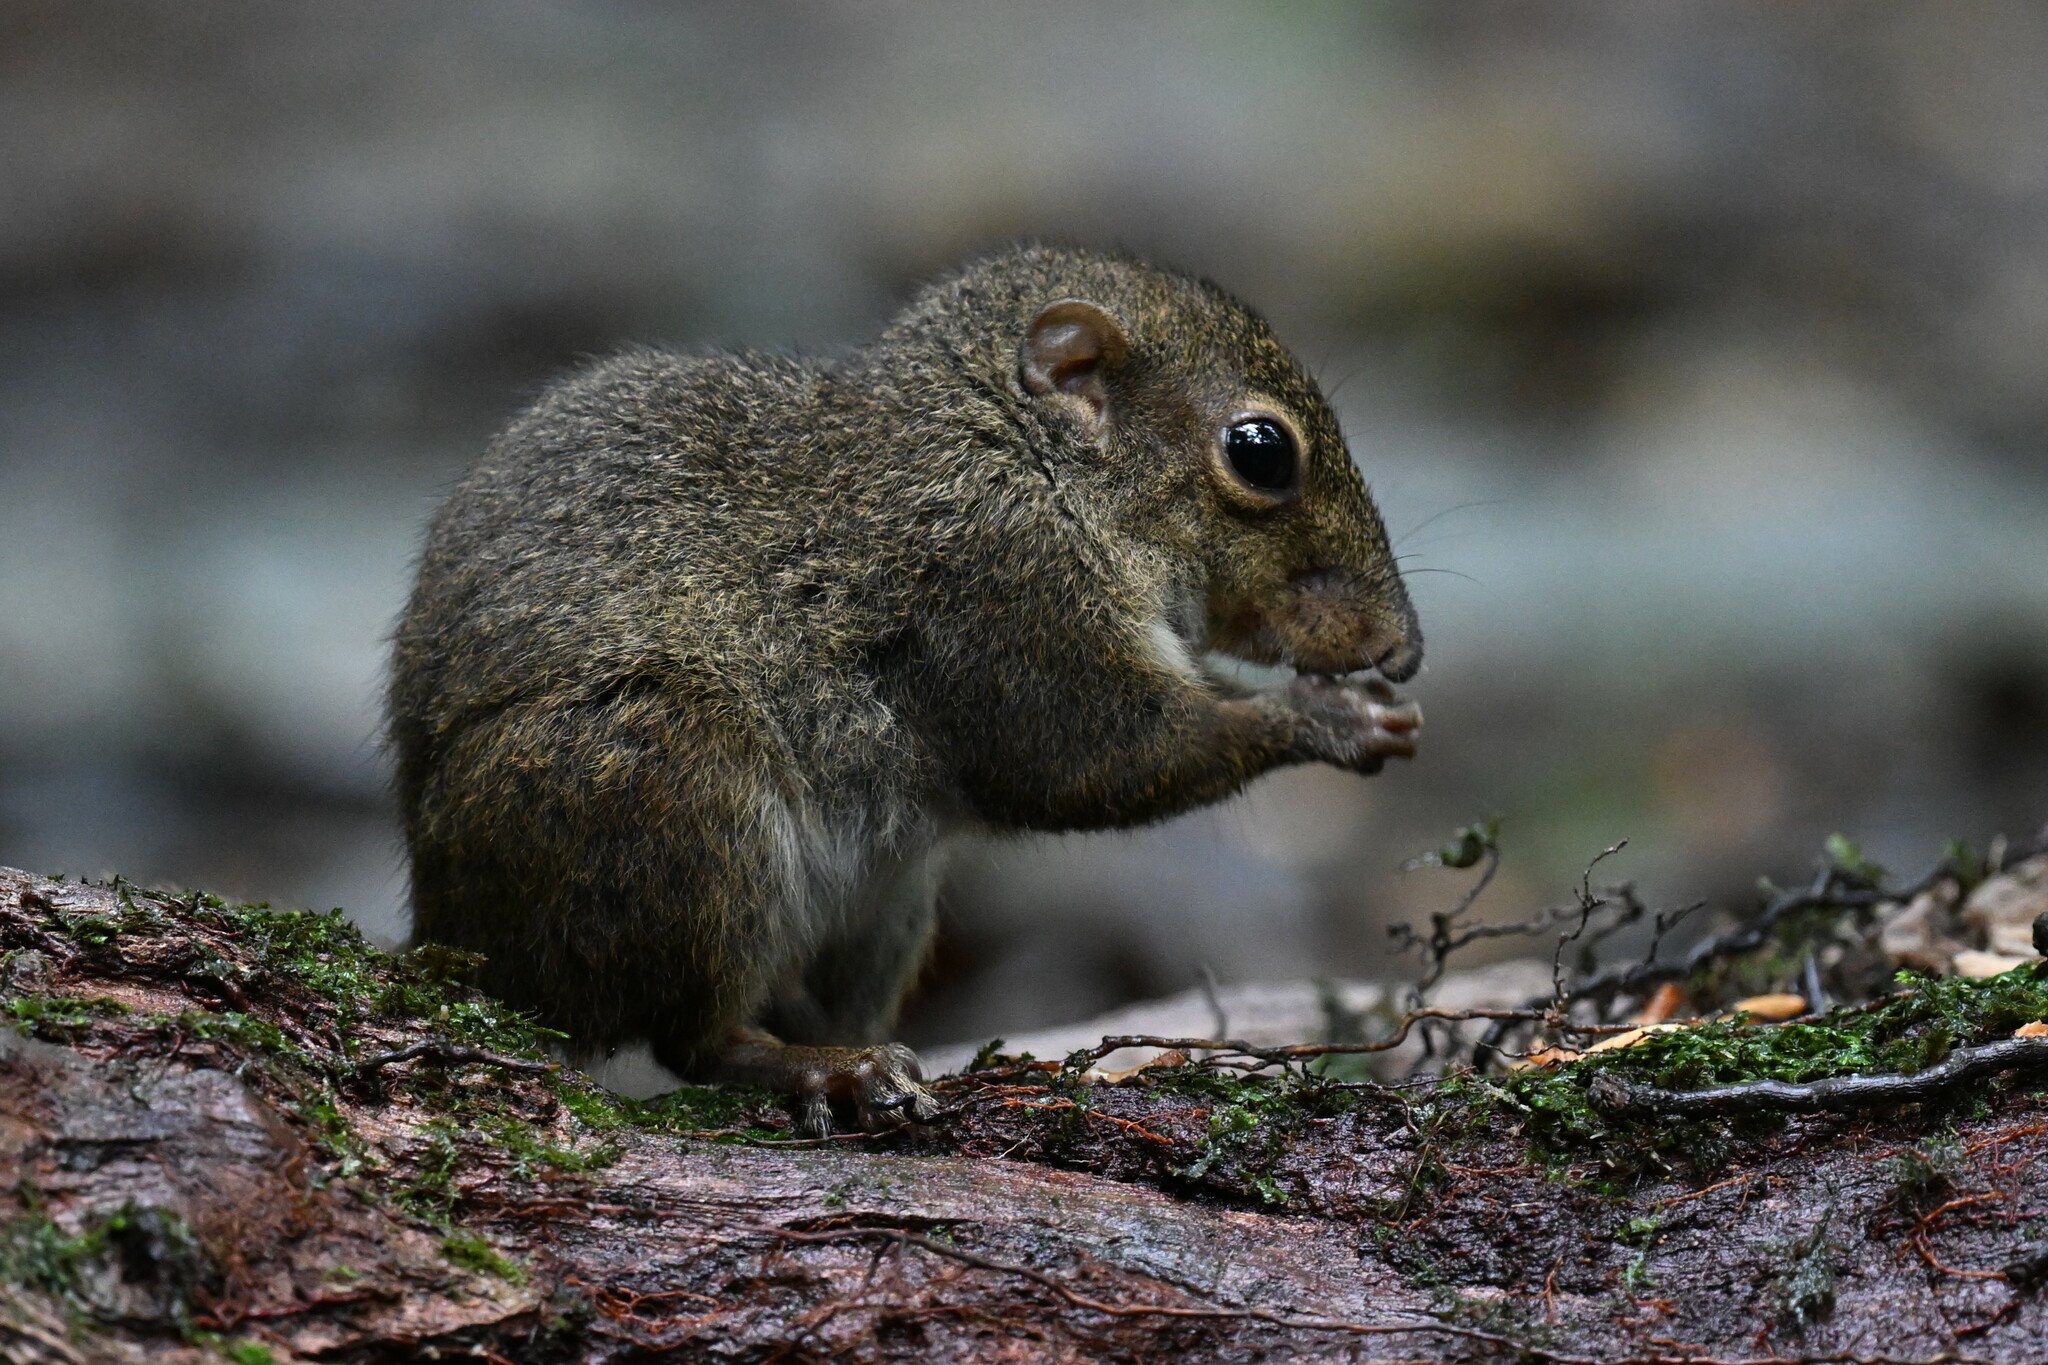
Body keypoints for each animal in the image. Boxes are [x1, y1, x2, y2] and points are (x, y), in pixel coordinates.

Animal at [389, 244, 1422, 1135]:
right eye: (1260, 449)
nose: (1404, 646)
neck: (1020, 454)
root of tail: (461, 939)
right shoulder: (1000, 593)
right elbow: (1100, 756)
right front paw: (1327, 716)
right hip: (672, 789)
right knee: (695, 1035)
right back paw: (831, 1069)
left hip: (884, 902)